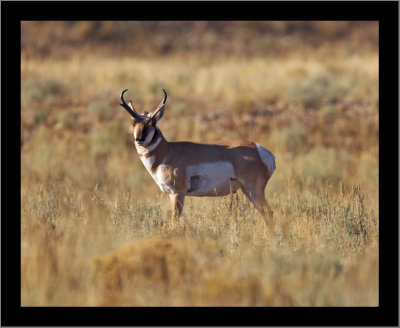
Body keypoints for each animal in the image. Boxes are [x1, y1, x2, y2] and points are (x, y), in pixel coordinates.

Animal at [119, 88, 276, 224]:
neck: (167, 151)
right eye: (134, 122)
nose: (140, 139)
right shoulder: (171, 194)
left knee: (268, 213)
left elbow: (174, 220)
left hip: (253, 190)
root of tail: (261, 150)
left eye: (153, 122)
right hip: (247, 191)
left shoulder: (178, 193)